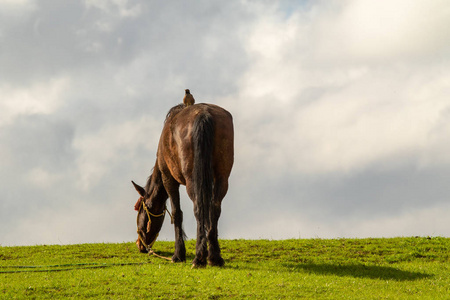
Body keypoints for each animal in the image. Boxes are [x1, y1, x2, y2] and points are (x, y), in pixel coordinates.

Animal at [131, 103, 234, 268]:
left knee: (199, 209)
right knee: (214, 209)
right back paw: (214, 257)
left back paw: (199, 257)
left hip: (192, 180)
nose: (140, 245)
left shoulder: (168, 179)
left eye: (140, 210)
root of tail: (204, 114)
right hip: (222, 178)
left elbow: (177, 213)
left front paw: (178, 254)